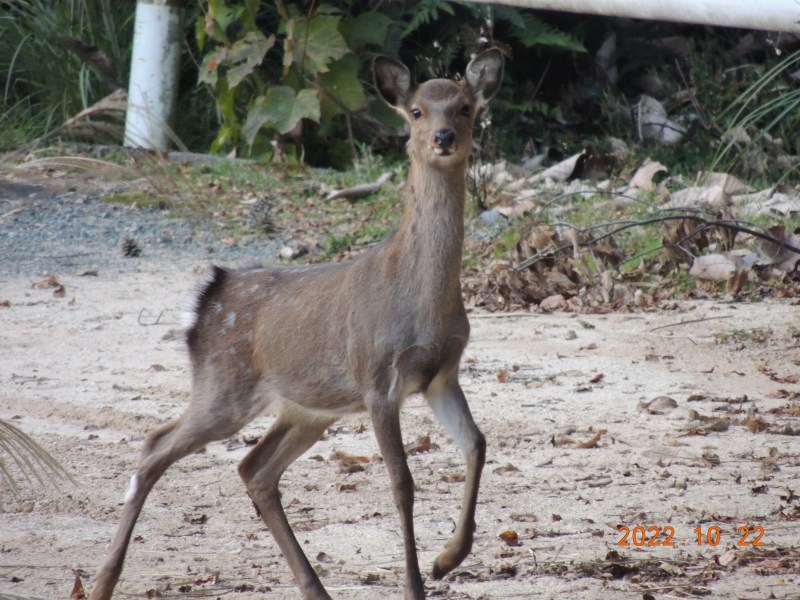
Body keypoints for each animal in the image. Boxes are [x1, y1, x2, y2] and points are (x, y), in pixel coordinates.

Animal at [90, 48, 504, 600]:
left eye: (464, 108)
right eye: (416, 111)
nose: (442, 137)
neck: (422, 303)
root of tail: (207, 298)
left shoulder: (441, 374)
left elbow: (477, 444)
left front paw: (446, 559)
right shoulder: (377, 376)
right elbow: (402, 483)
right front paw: (418, 583)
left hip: (307, 409)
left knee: (254, 468)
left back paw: (315, 588)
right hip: (226, 387)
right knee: (156, 445)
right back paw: (100, 582)